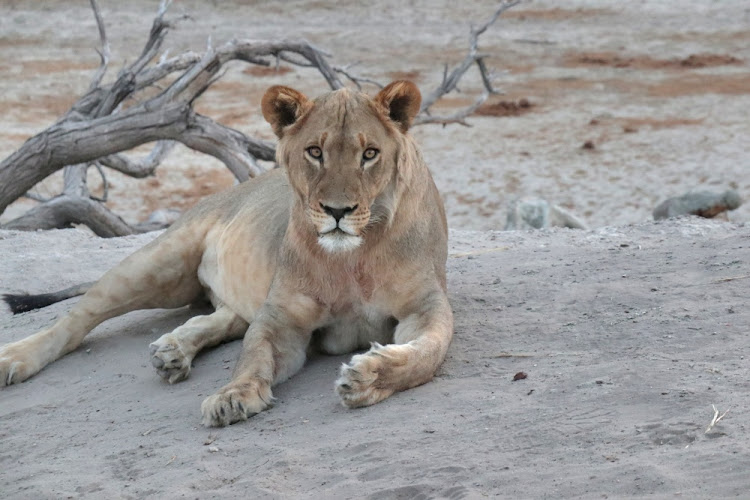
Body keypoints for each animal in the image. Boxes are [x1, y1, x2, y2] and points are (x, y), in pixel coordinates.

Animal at [0, 80, 452, 428]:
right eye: (315, 152)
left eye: (370, 154)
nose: (337, 211)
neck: (352, 259)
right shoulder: (281, 317)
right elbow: (252, 356)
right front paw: (232, 396)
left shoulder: (427, 307)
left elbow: (426, 355)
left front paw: (368, 378)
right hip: (159, 261)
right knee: (76, 320)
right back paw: (14, 359)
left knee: (217, 316)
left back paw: (172, 351)